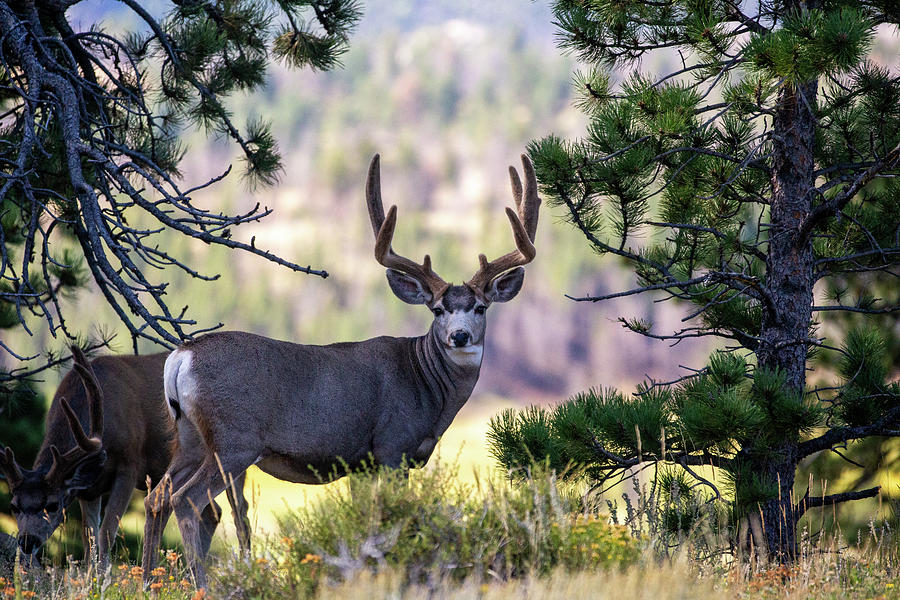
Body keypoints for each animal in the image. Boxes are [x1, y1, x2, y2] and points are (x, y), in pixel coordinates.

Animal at [0, 350, 250, 564]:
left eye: (52, 505)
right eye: (13, 506)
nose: (26, 542)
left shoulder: (130, 466)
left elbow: (107, 533)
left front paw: (103, 581)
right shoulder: (89, 489)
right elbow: (89, 541)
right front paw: (90, 580)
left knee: (240, 515)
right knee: (211, 511)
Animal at [142, 154, 540, 584]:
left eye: (480, 307)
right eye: (437, 310)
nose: (460, 336)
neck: (425, 385)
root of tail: (182, 356)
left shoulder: (361, 463)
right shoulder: (391, 446)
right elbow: (390, 517)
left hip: (190, 436)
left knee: (156, 496)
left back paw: (147, 580)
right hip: (234, 440)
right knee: (187, 500)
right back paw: (202, 583)